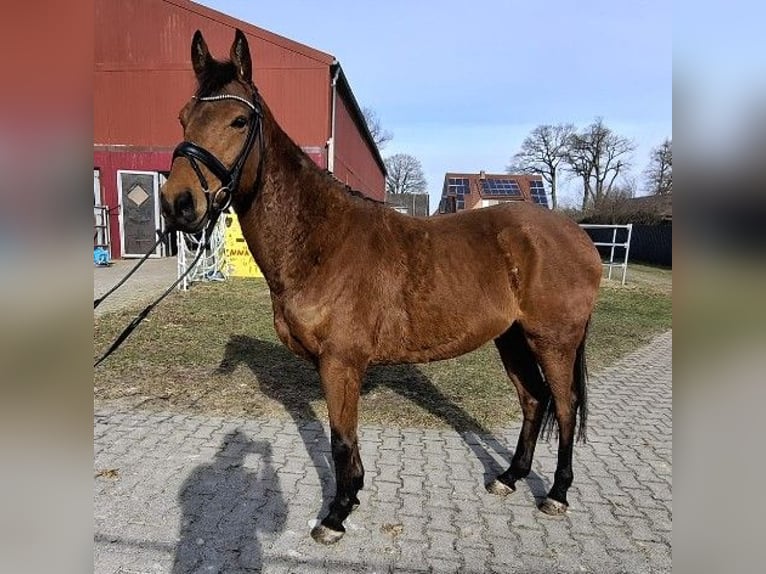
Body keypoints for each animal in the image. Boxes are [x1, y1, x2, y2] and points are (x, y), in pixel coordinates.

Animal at [160, 29, 602, 545]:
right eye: (183, 116)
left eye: (239, 119)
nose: (178, 203)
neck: (320, 240)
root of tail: (580, 238)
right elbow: (344, 440)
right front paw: (349, 499)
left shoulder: (341, 362)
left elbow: (340, 440)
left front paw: (336, 514)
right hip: (511, 339)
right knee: (533, 400)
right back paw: (510, 477)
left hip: (553, 342)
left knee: (565, 408)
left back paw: (556, 493)